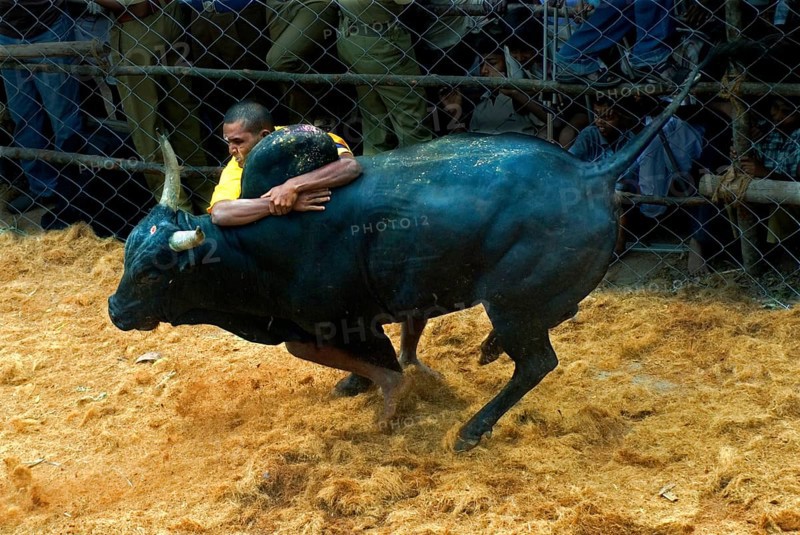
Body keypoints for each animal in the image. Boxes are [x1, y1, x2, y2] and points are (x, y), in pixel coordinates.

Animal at [109, 61, 704, 451]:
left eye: (156, 271)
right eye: (128, 256)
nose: (116, 310)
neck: (255, 249)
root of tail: (589, 172)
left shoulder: (338, 321)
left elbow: (383, 363)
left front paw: (390, 397)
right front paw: (359, 384)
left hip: (513, 302)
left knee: (537, 362)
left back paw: (472, 429)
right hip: (526, 299)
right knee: (559, 317)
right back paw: (487, 352)